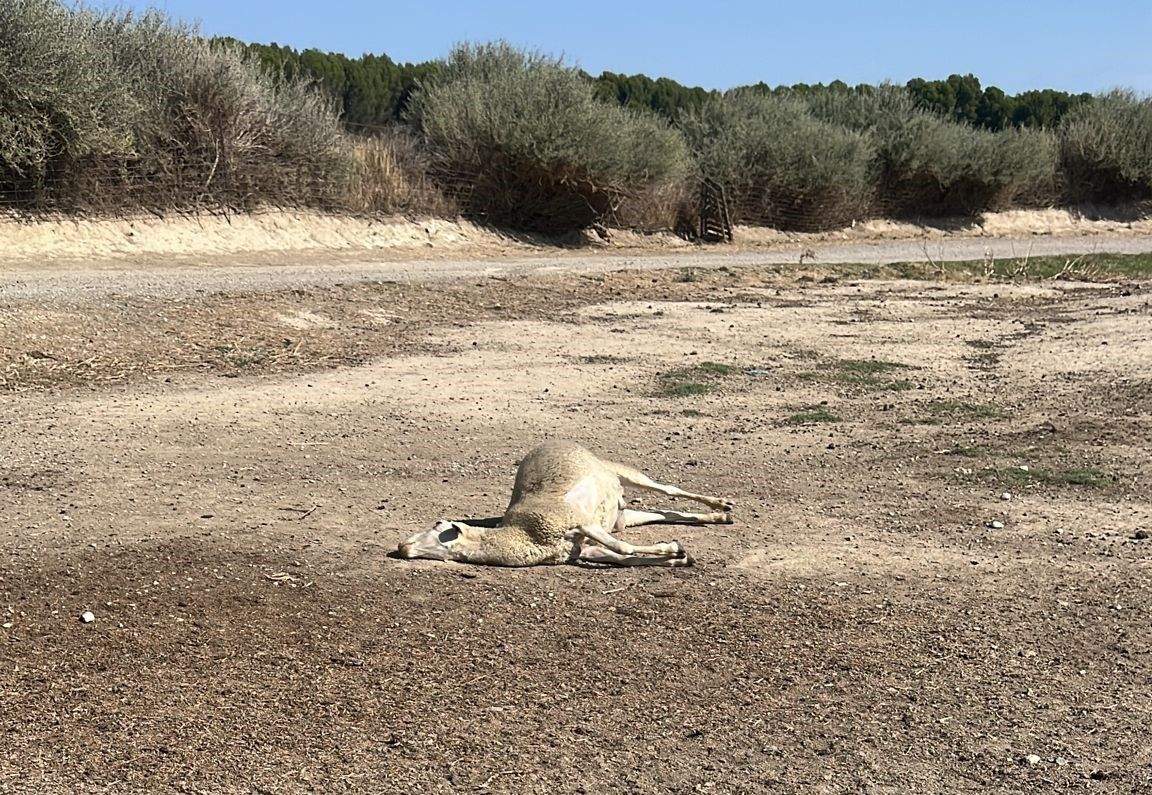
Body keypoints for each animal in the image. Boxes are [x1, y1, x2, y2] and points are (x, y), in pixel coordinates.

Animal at [397, 440, 733, 567]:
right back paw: (718, 518)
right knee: (665, 513)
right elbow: (623, 556)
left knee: (670, 489)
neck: (522, 534)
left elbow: (623, 549)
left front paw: (676, 550)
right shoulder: (581, 548)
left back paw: (724, 504)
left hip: (626, 473)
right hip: (622, 516)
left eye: (437, 526)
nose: (401, 547)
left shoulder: (578, 522)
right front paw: (677, 557)